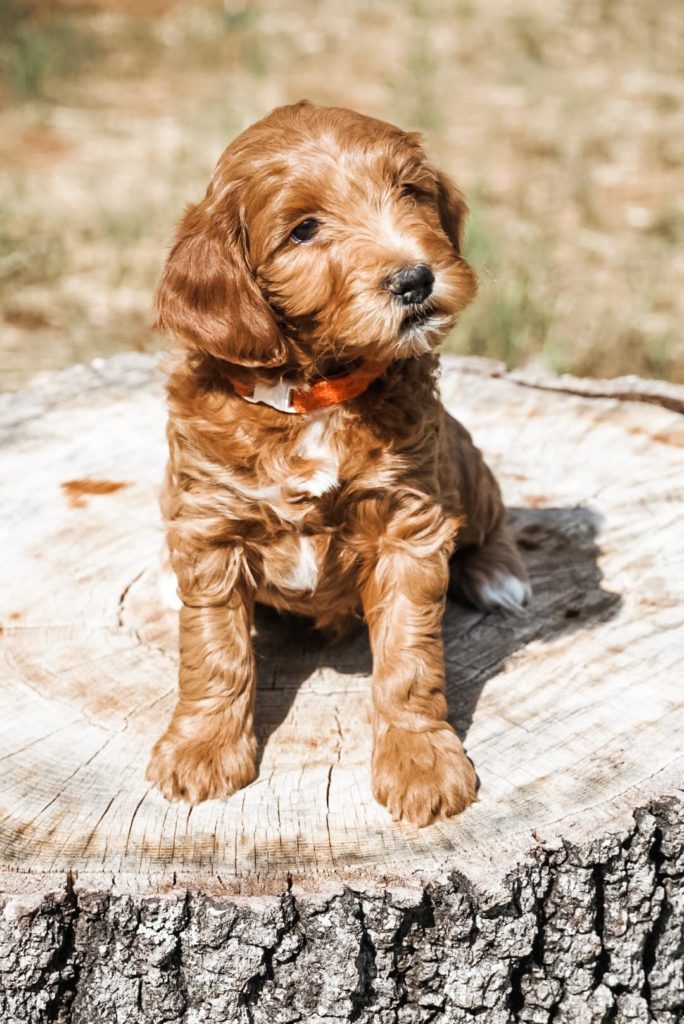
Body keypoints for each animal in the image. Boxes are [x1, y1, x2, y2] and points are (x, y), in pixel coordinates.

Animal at [147, 101, 528, 823]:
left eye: (410, 193)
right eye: (303, 230)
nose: (415, 278)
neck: (310, 397)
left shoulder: (410, 521)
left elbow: (408, 660)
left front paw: (421, 763)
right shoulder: (209, 526)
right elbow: (214, 651)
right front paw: (202, 750)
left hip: (464, 460)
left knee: (493, 520)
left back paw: (499, 576)